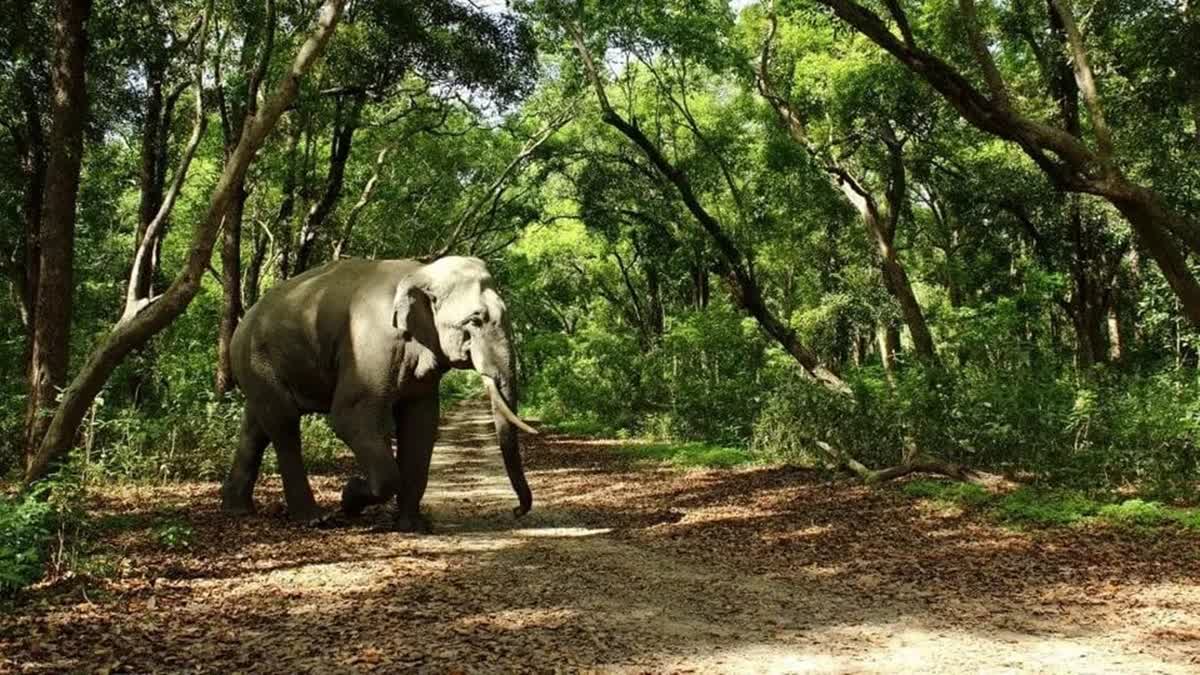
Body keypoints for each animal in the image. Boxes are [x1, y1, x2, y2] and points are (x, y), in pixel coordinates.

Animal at [219, 255, 536, 530]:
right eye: (475, 320)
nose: (516, 510)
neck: (420, 272)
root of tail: (241, 324)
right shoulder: (371, 347)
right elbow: (349, 417)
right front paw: (349, 495)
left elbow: (421, 424)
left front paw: (412, 527)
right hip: (259, 360)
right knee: (283, 424)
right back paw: (314, 519)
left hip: (258, 371)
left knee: (256, 426)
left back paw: (237, 510)